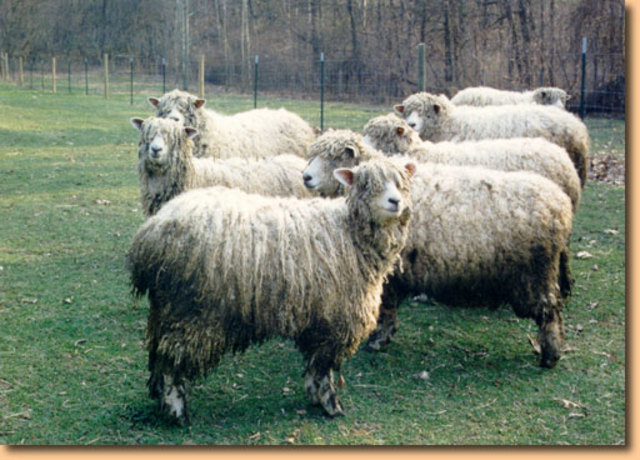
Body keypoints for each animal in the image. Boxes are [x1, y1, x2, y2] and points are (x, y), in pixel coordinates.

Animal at [128, 158, 416, 424]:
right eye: (366, 184)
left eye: (401, 183)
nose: (395, 202)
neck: (350, 233)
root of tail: (151, 234)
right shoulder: (334, 320)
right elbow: (324, 367)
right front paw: (331, 404)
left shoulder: (316, 320)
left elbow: (314, 365)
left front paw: (314, 396)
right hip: (190, 313)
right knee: (172, 361)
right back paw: (177, 411)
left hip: (165, 309)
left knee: (157, 353)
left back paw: (159, 399)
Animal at [303, 129, 574, 369]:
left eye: (335, 157)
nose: (305, 177)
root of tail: (561, 203)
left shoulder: (391, 273)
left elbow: (386, 309)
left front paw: (378, 340)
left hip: (535, 276)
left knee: (550, 312)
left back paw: (550, 355)